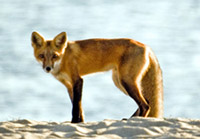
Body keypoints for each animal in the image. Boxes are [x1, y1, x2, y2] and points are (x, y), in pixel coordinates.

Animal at [30, 31, 162, 122]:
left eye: (54, 56)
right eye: (42, 56)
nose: (48, 68)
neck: (63, 59)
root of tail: (146, 46)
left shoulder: (78, 80)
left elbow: (75, 108)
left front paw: (74, 122)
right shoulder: (69, 86)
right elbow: (79, 107)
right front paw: (81, 123)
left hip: (126, 82)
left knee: (145, 104)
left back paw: (136, 121)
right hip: (119, 82)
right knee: (146, 102)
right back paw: (130, 119)